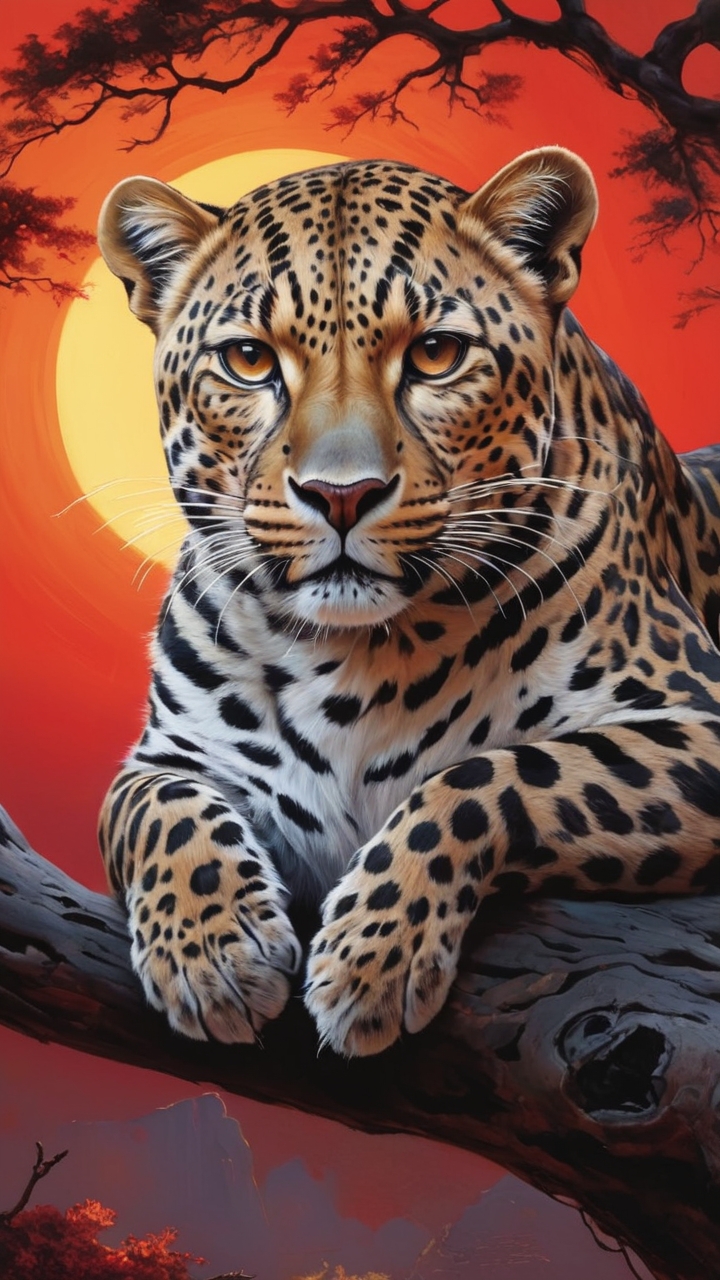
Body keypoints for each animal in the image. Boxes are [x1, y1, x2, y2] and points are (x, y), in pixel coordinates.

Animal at [96, 146, 720, 1058]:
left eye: (436, 355)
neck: (349, 656)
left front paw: (371, 959)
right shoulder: (170, 754)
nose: (340, 495)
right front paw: (212, 955)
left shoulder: (697, 716)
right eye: (248, 360)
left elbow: (499, 773)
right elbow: (153, 812)